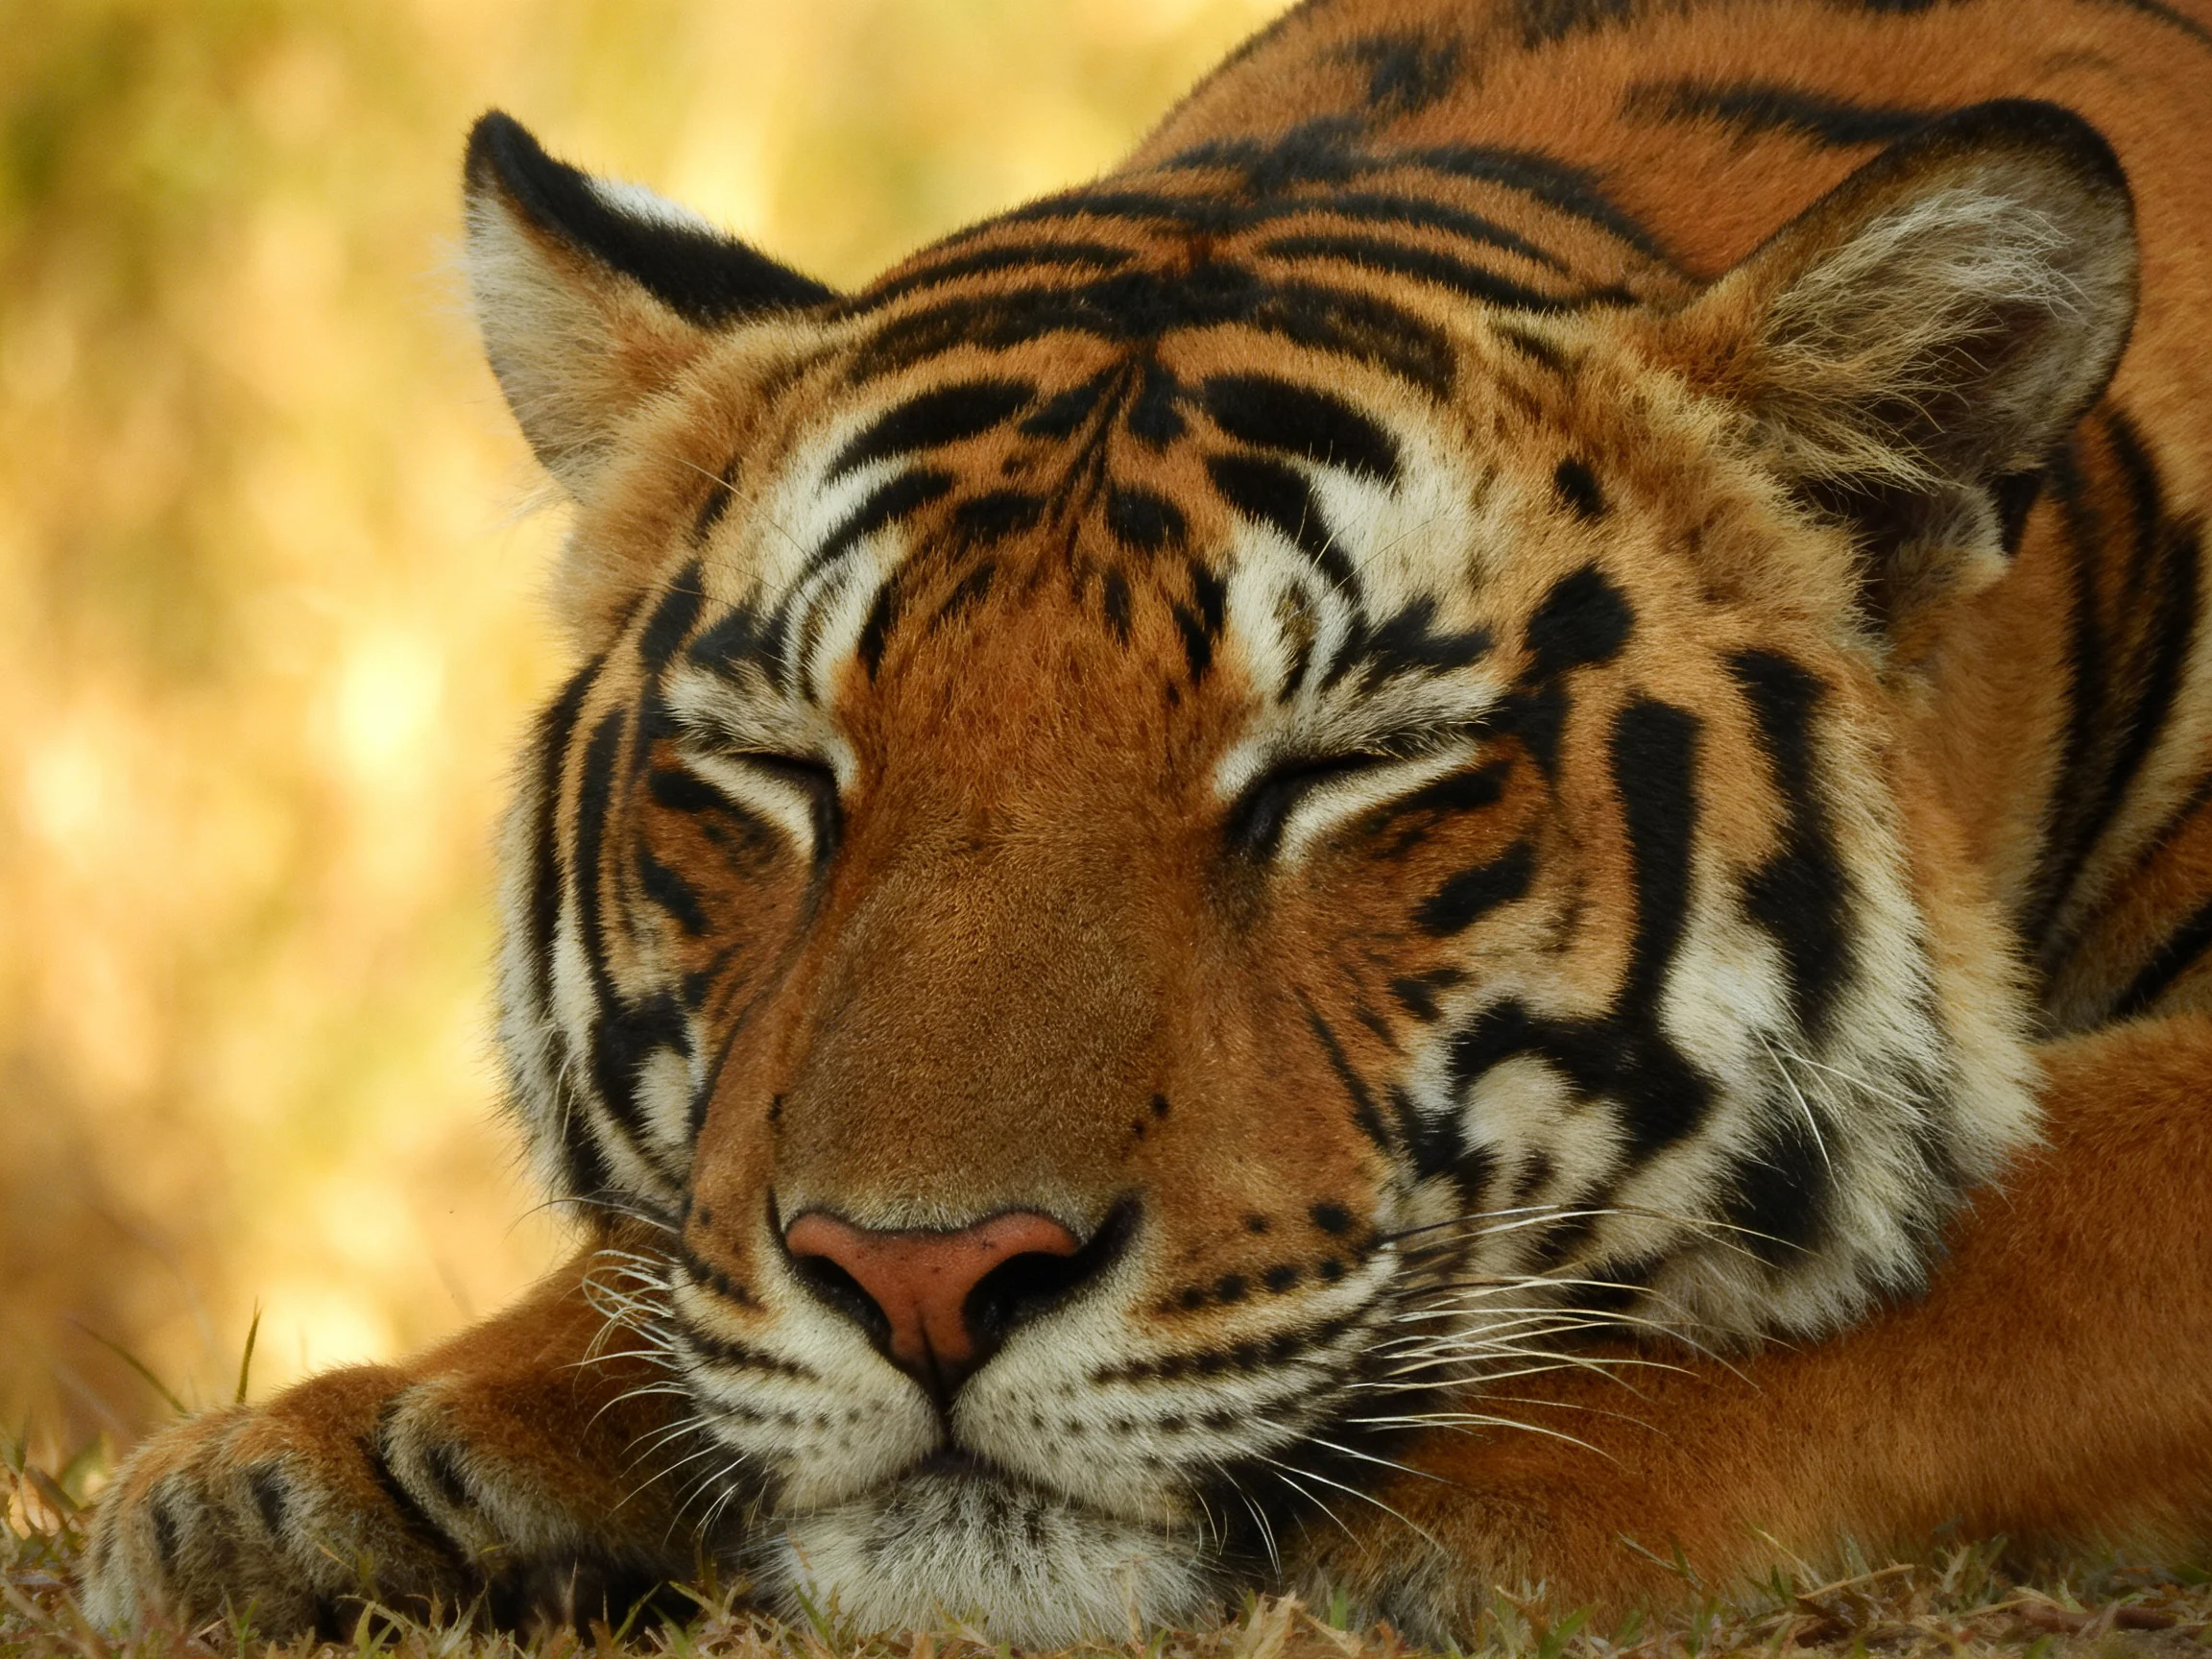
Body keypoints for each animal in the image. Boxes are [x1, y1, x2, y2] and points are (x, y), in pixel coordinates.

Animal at [82, 0, 2212, 1644]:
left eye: (1345, 769)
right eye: (783, 772)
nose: (922, 1281)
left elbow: (2023, 1234)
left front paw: (1461, 1491)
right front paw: (338, 1461)